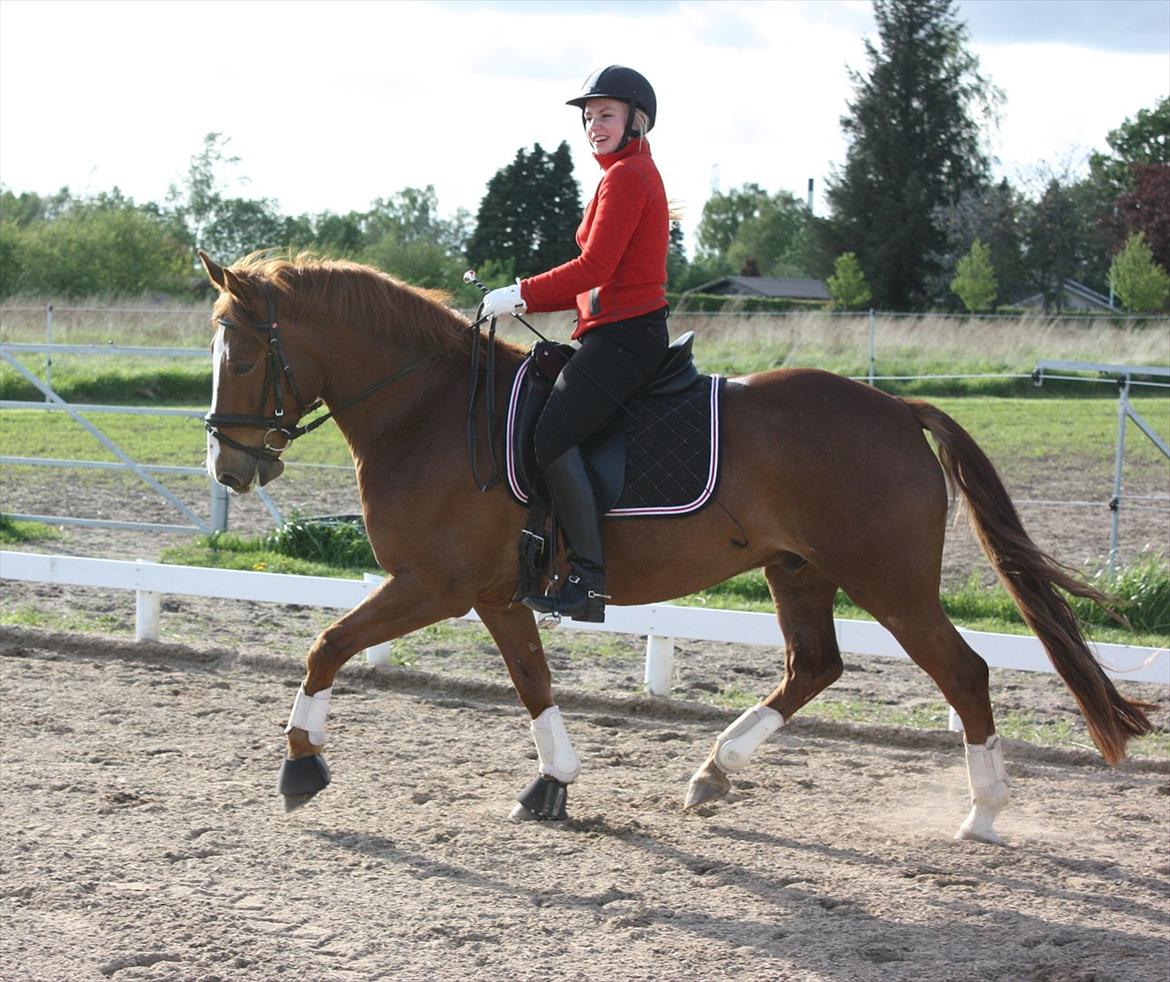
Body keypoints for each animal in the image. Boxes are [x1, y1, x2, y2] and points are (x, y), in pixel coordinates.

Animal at [196, 251, 1146, 842]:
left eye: (241, 356)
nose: (230, 467)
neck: (428, 409)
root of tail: (893, 407)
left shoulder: (432, 583)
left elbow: (326, 646)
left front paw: (301, 768)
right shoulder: (495, 593)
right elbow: (532, 680)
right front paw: (553, 782)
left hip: (890, 581)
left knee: (964, 673)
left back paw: (982, 814)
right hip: (799, 571)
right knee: (815, 667)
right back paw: (715, 771)